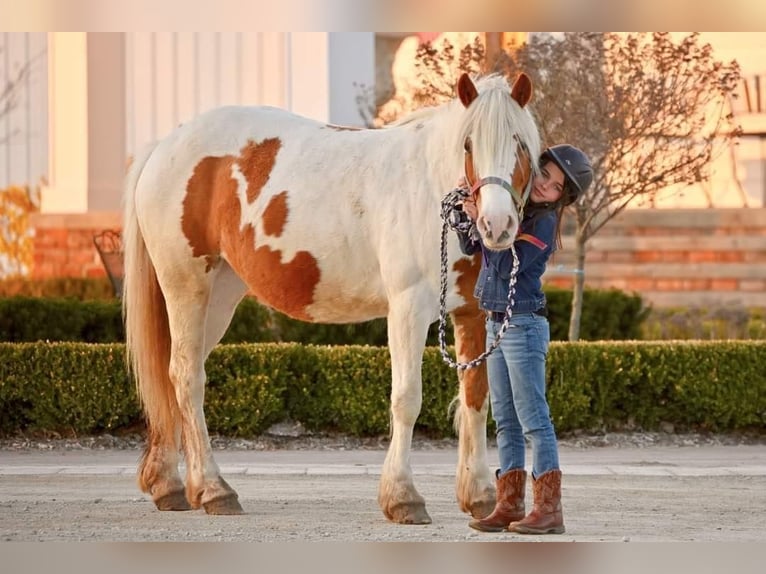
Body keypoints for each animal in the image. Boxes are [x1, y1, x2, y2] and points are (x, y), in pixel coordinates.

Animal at [123, 72, 540, 528]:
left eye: (521, 144)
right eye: (468, 145)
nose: (497, 224)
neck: (432, 190)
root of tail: (165, 144)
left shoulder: (471, 314)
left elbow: (475, 399)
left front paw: (480, 494)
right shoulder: (408, 309)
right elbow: (407, 399)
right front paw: (402, 496)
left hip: (218, 299)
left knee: (173, 376)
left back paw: (171, 485)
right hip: (187, 287)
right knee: (186, 378)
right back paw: (215, 489)